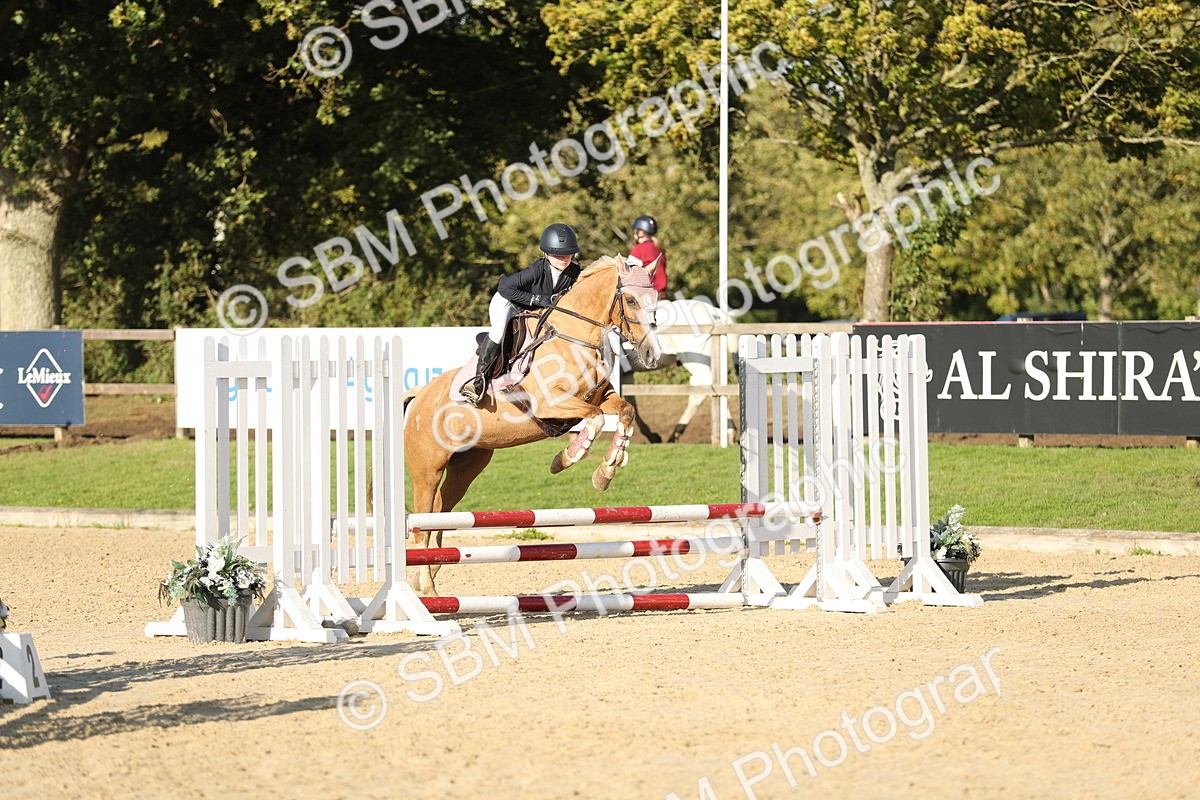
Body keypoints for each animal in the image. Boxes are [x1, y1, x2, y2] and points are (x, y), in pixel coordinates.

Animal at [403, 254, 662, 595]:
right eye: (630, 300)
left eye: (655, 300)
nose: (653, 355)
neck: (574, 339)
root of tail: (419, 397)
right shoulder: (552, 403)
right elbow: (594, 419)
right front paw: (564, 459)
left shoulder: (602, 395)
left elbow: (625, 412)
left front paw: (605, 473)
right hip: (427, 471)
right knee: (422, 522)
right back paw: (427, 590)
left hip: (466, 469)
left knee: (439, 515)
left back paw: (428, 577)